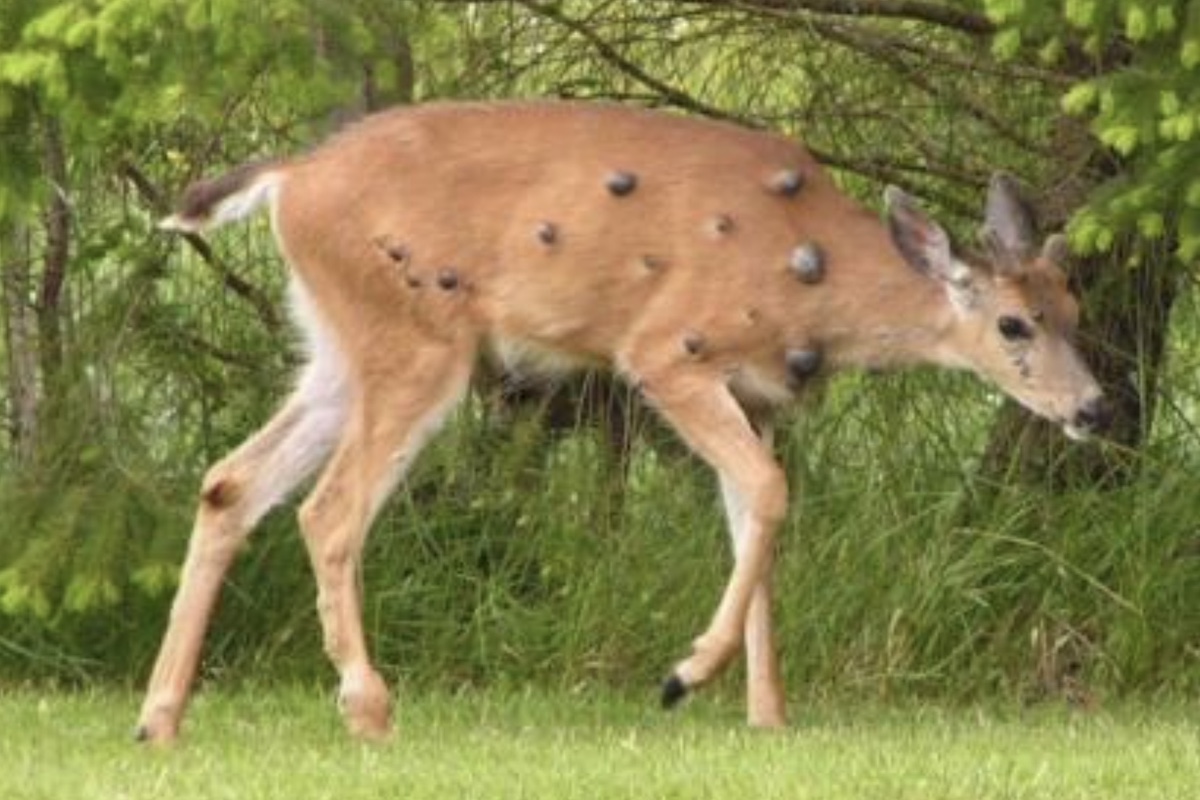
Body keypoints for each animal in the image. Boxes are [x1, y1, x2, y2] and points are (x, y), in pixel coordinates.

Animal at [135, 100, 1109, 744]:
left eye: (1074, 307)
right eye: (1013, 324)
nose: (1095, 407)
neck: (811, 275)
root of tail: (290, 180)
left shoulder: (755, 394)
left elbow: (752, 517)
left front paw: (766, 715)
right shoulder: (670, 350)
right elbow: (770, 492)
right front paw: (684, 677)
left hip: (338, 346)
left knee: (230, 483)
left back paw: (160, 719)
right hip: (416, 337)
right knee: (328, 508)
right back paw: (370, 711)